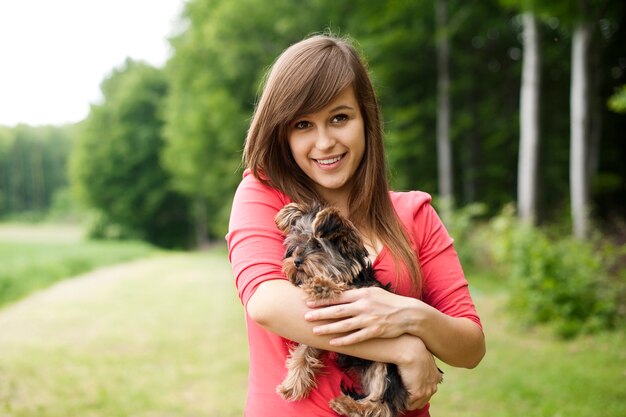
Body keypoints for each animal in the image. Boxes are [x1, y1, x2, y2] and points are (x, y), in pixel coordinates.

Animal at [272, 202, 410, 416]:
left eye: (317, 246)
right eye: (295, 246)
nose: (296, 261)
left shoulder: (360, 294)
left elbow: (341, 288)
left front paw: (321, 285)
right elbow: (304, 351)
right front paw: (292, 384)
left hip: (386, 367)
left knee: (382, 403)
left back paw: (349, 404)